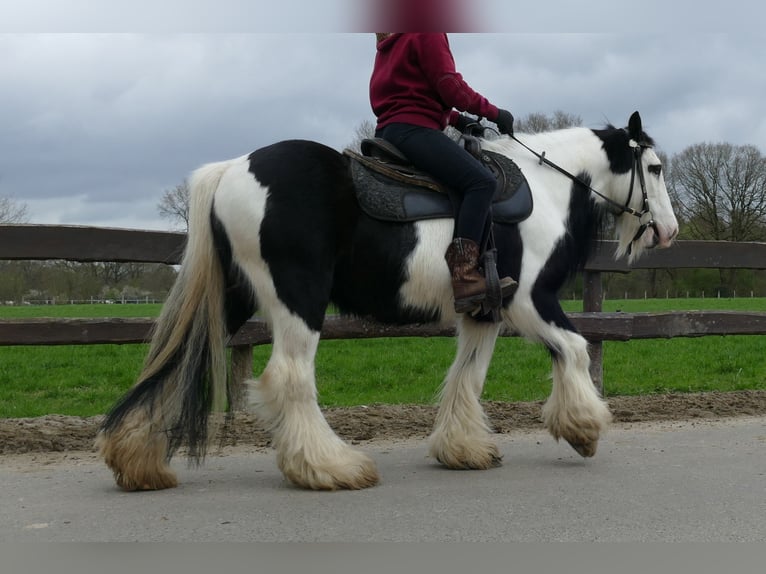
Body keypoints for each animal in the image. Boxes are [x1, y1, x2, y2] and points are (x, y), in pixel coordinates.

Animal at [96, 113, 680, 496]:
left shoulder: (483, 311)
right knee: (289, 377)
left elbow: (468, 375)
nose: (669, 232)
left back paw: (137, 462)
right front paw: (583, 427)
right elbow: (576, 348)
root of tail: (232, 169)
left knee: (175, 364)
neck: (545, 189)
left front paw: (463, 449)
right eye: (654, 168)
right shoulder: (529, 302)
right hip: (297, 299)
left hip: (233, 297)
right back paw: (330, 468)